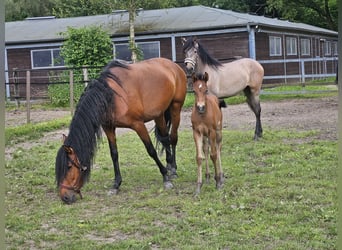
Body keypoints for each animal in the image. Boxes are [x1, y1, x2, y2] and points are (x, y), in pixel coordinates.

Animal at [55, 57, 187, 204]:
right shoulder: (108, 127)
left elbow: (151, 150)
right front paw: (116, 185)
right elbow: (114, 154)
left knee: (173, 137)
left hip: (176, 108)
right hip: (159, 114)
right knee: (165, 138)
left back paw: (173, 169)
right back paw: (169, 165)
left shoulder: (138, 125)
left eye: (69, 166)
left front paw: (165, 177)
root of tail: (173, 65)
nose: (65, 197)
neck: (111, 96)